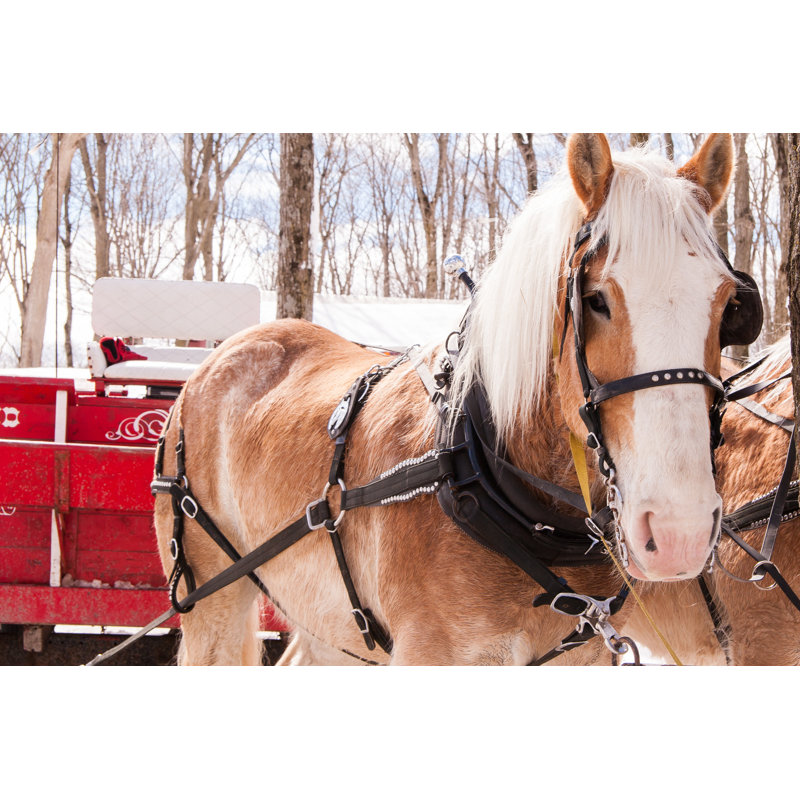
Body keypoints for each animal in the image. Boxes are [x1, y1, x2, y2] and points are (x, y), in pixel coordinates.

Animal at [153, 133, 741, 666]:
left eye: (730, 304)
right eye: (595, 299)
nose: (680, 532)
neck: (477, 472)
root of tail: (218, 357)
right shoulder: (433, 652)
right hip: (213, 598)